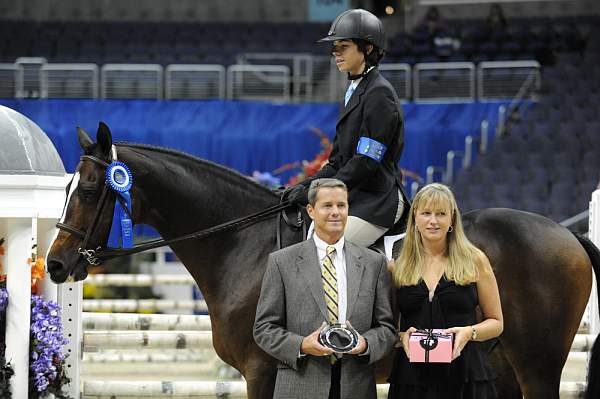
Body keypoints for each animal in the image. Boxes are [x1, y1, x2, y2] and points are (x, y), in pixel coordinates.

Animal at [48, 122, 600, 399]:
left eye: (92, 189)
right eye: (70, 187)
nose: (55, 265)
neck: (242, 246)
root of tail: (566, 236)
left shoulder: (264, 371)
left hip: (538, 365)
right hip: (500, 366)